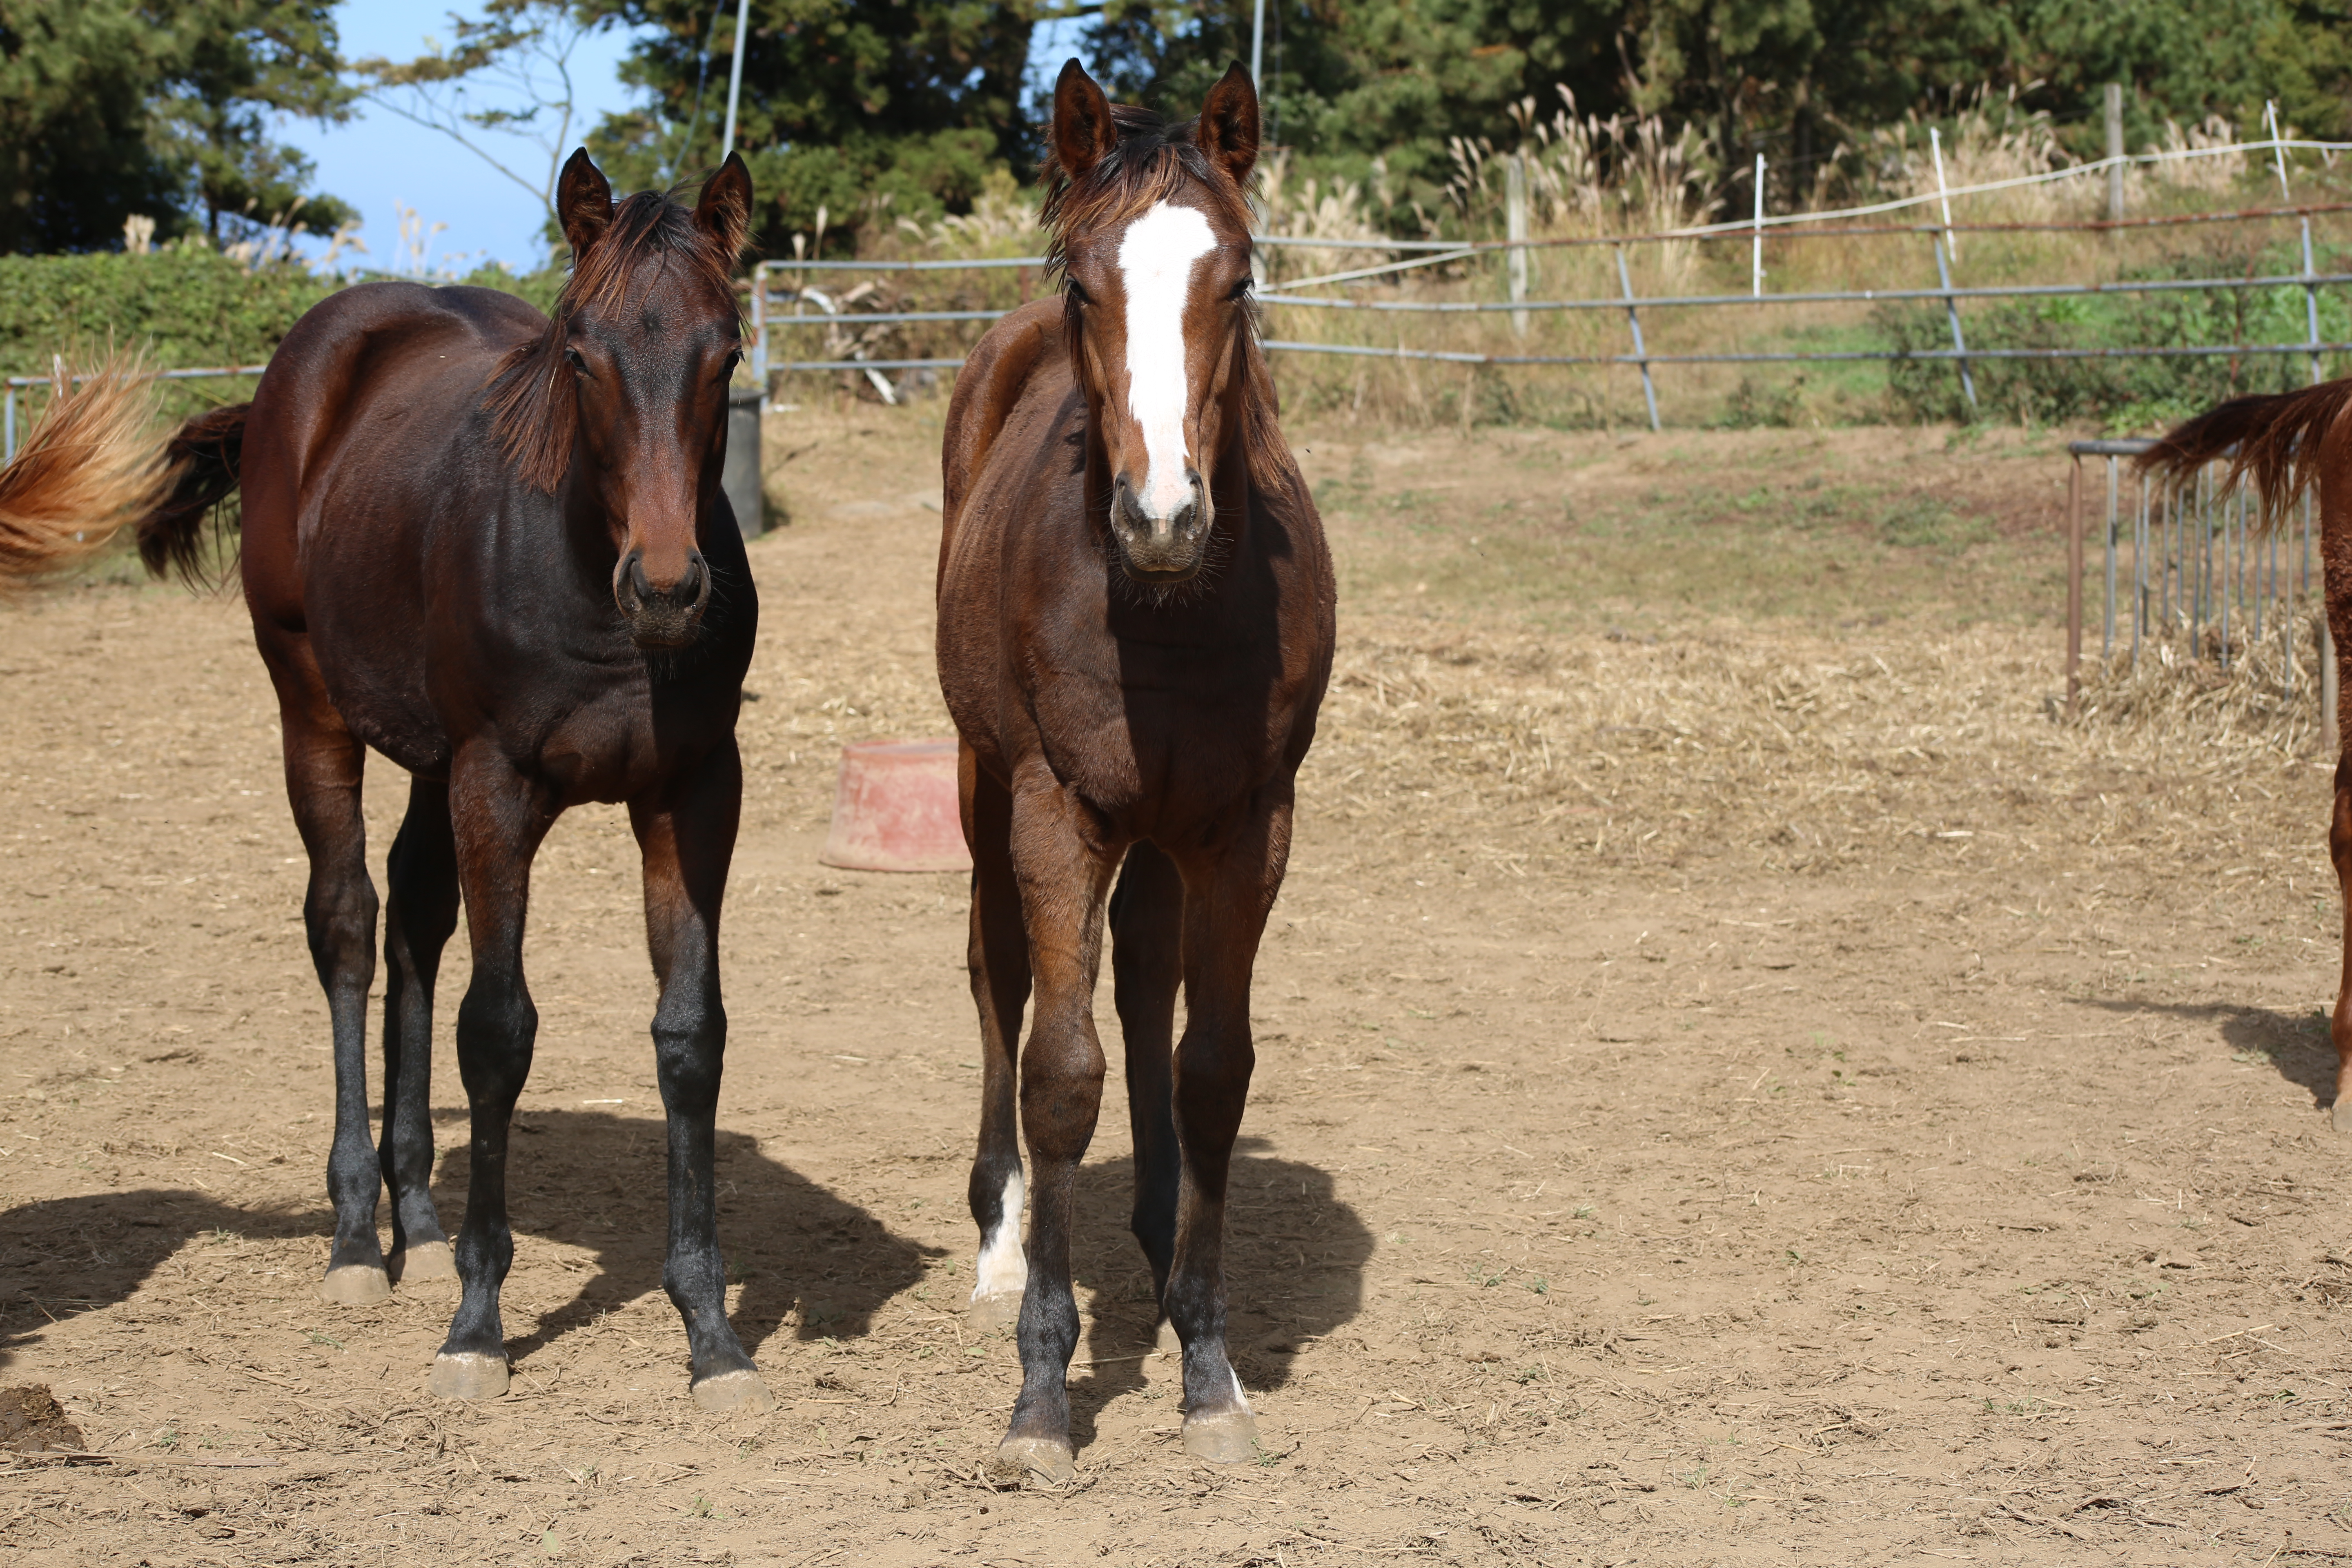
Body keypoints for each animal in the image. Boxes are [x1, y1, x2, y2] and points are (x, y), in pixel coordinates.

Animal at [80, 153, 771, 1420]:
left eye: (727, 352)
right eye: (582, 355)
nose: (666, 588)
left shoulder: (694, 788)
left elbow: (689, 1033)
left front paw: (711, 1333)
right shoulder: (497, 783)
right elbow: (495, 1030)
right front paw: (478, 1325)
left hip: (429, 759)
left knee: (413, 920)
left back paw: (417, 1214)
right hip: (316, 712)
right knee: (350, 927)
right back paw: (361, 1233)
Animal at [936, 61, 1345, 1476]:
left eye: (1241, 280)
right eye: (1083, 286)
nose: (1162, 516)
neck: (1167, 609)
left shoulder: (1248, 825)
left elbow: (1210, 1066)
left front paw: (1208, 1367)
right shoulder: (1056, 810)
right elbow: (1062, 1074)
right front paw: (1041, 1398)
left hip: (1165, 834)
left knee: (1145, 982)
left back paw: (1160, 1231)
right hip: (981, 783)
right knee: (999, 978)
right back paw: (1002, 1239)